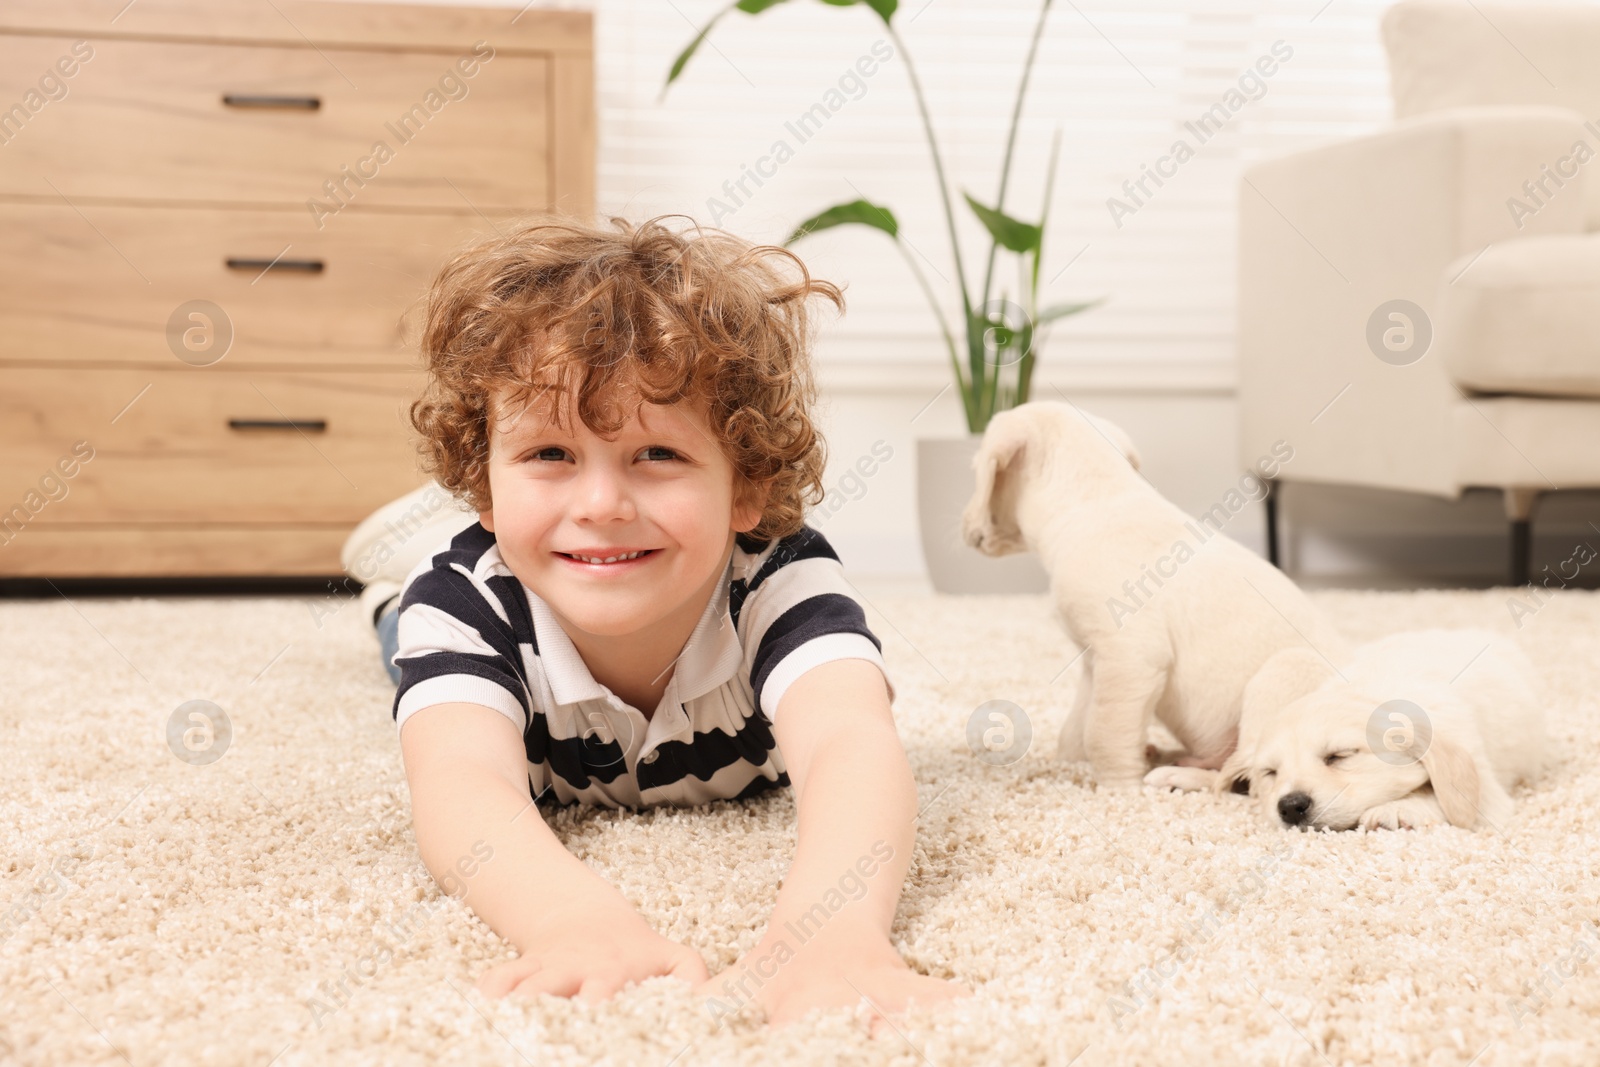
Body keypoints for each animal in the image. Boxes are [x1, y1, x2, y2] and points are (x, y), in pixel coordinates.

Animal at [953, 399, 1344, 793]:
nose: (963, 525)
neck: (1091, 503)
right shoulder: (1094, 663)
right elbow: (1079, 725)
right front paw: (1068, 763)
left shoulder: (1130, 658)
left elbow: (1105, 732)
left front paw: (1117, 788)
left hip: (1285, 672)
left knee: (1245, 775)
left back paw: (1176, 774)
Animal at [1216, 630, 1542, 831]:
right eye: (1270, 773)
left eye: (1340, 756)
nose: (1290, 806)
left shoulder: (1484, 785)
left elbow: (1452, 799)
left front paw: (1399, 810)